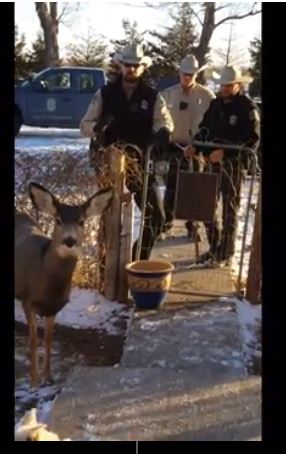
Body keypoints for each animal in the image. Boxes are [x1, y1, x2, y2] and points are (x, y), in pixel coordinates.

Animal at [14, 181, 113, 386]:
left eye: (82, 221)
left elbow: (49, 340)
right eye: (58, 220)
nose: (69, 240)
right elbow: (33, 340)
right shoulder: (28, 301)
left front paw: (49, 377)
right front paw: (34, 380)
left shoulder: (54, 307)